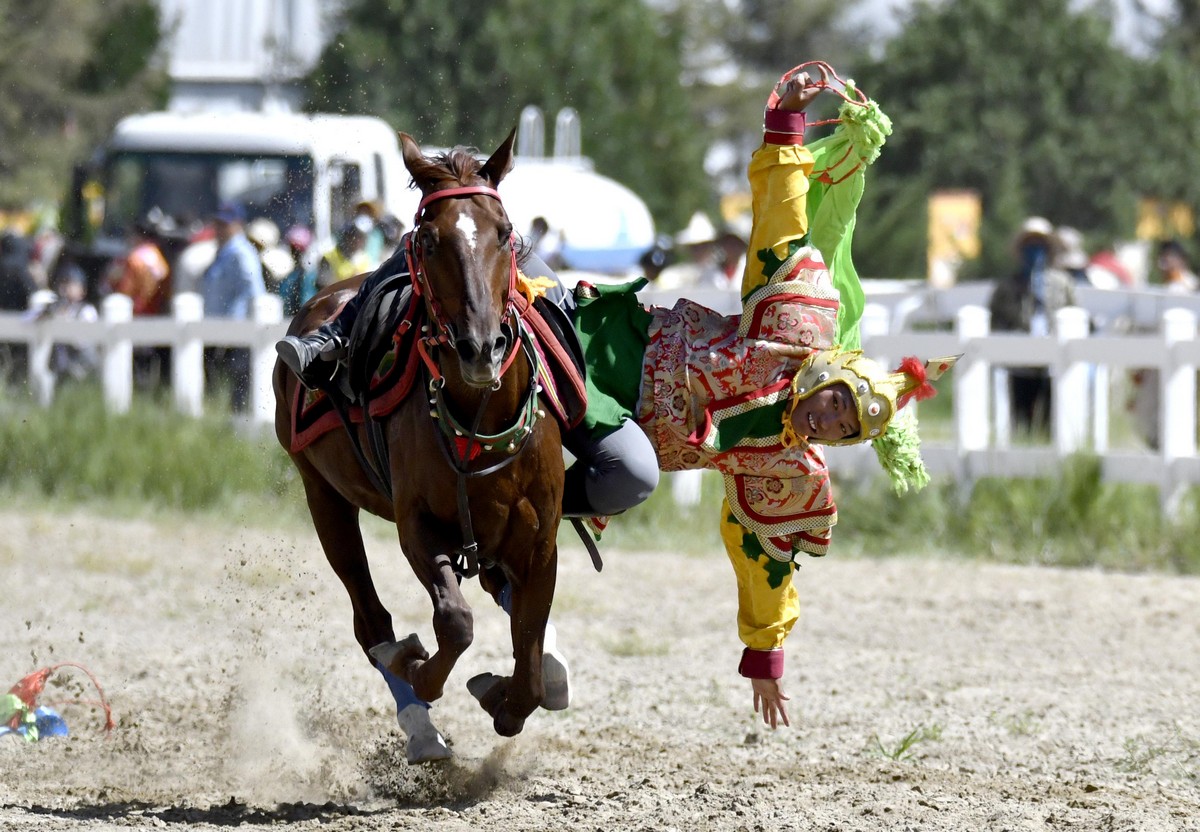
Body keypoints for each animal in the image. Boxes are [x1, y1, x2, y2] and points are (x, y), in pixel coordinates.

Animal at [274, 131, 564, 753]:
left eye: (504, 232)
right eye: (428, 240)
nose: (480, 347)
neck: (480, 420)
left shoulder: (540, 542)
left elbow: (528, 659)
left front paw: (503, 695)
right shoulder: (419, 526)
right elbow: (454, 624)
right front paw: (415, 668)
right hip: (321, 494)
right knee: (369, 620)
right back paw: (415, 714)